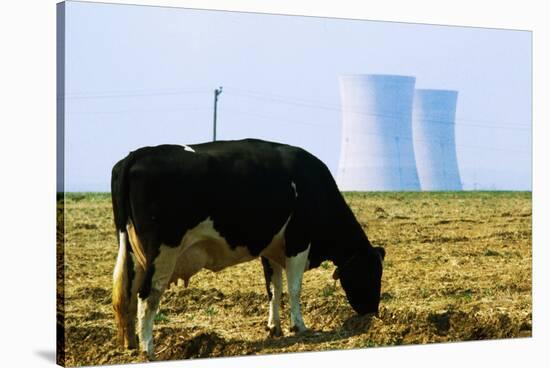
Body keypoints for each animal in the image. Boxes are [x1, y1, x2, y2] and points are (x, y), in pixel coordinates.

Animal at [111, 139, 388, 360]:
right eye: (371, 273)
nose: (372, 313)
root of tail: (138, 153)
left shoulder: (271, 249)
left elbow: (274, 288)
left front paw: (274, 327)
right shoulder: (298, 242)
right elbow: (294, 287)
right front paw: (299, 326)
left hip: (135, 255)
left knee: (128, 295)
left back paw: (131, 344)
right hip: (163, 252)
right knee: (147, 295)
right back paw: (148, 348)